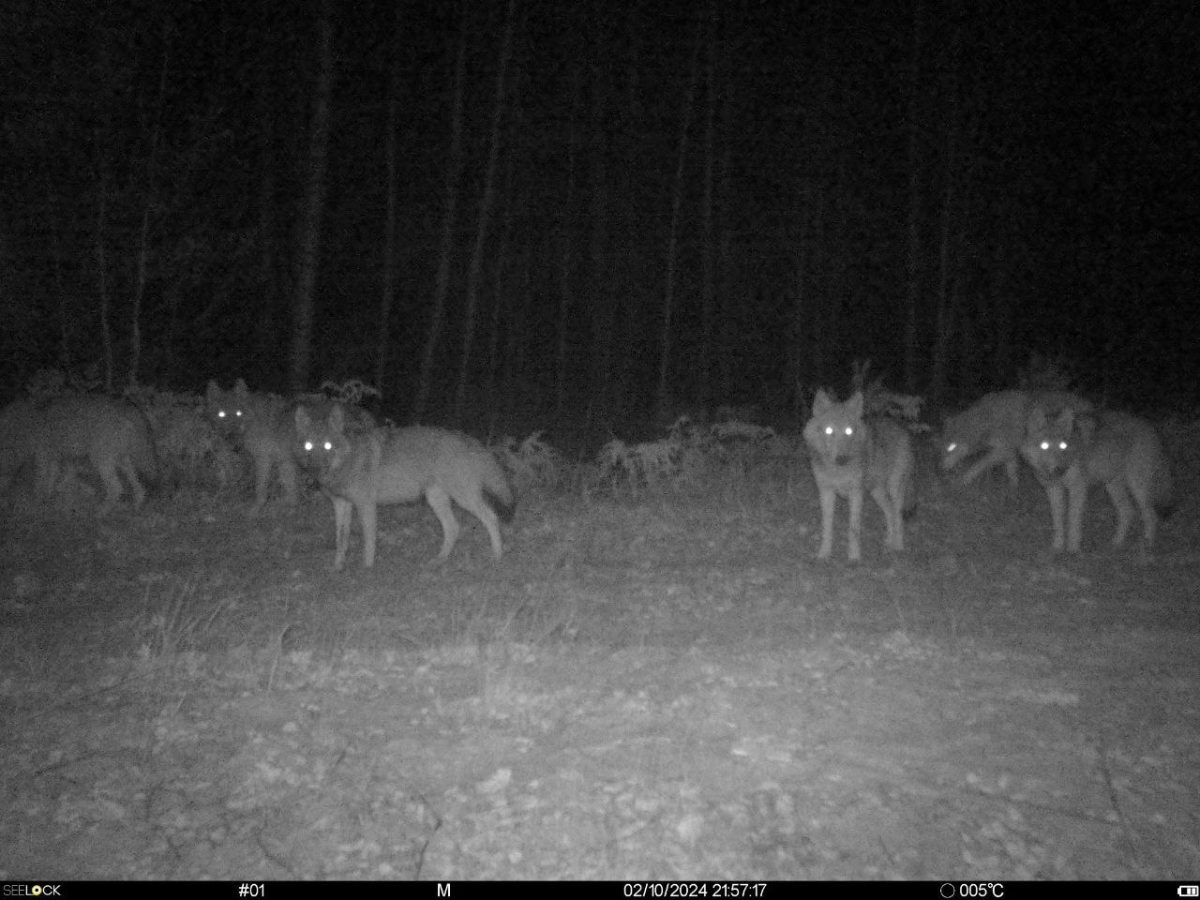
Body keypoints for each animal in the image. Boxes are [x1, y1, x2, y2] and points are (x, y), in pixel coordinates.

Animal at [206, 379, 372, 513]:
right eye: (221, 414)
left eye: (238, 413)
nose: (230, 435)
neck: (254, 420)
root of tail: (363, 412)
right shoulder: (284, 461)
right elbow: (291, 490)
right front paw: (291, 508)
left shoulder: (264, 459)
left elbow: (261, 488)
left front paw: (256, 509)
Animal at [295, 403, 516, 566]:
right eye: (308, 446)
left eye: (328, 446)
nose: (312, 474)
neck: (349, 460)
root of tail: (467, 438)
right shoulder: (341, 505)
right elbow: (341, 540)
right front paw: (338, 568)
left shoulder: (366, 505)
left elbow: (368, 540)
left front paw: (367, 569)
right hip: (436, 500)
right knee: (453, 527)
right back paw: (439, 559)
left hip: (463, 498)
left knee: (491, 518)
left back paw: (497, 556)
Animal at [801, 388, 912, 561]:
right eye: (828, 430)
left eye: (849, 431)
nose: (841, 458)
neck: (837, 471)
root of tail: (901, 428)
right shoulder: (826, 492)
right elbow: (827, 527)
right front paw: (824, 553)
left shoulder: (856, 493)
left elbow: (853, 528)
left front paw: (853, 557)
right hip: (876, 492)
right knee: (889, 512)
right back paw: (889, 541)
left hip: (894, 489)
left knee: (898, 516)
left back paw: (898, 546)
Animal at [1017, 405, 1176, 554]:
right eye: (1044, 446)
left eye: (1063, 446)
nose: (1059, 469)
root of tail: (1153, 430)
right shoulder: (1053, 490)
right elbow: (1058, 521)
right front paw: (1057, 547)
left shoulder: (1078, 489)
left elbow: (1073, 520)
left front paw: (1073, 549)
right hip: (1113, 486)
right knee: (1128, 512)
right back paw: (1116, 543)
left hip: (1138, 488)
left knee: (1151, 516)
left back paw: (1148, 545)